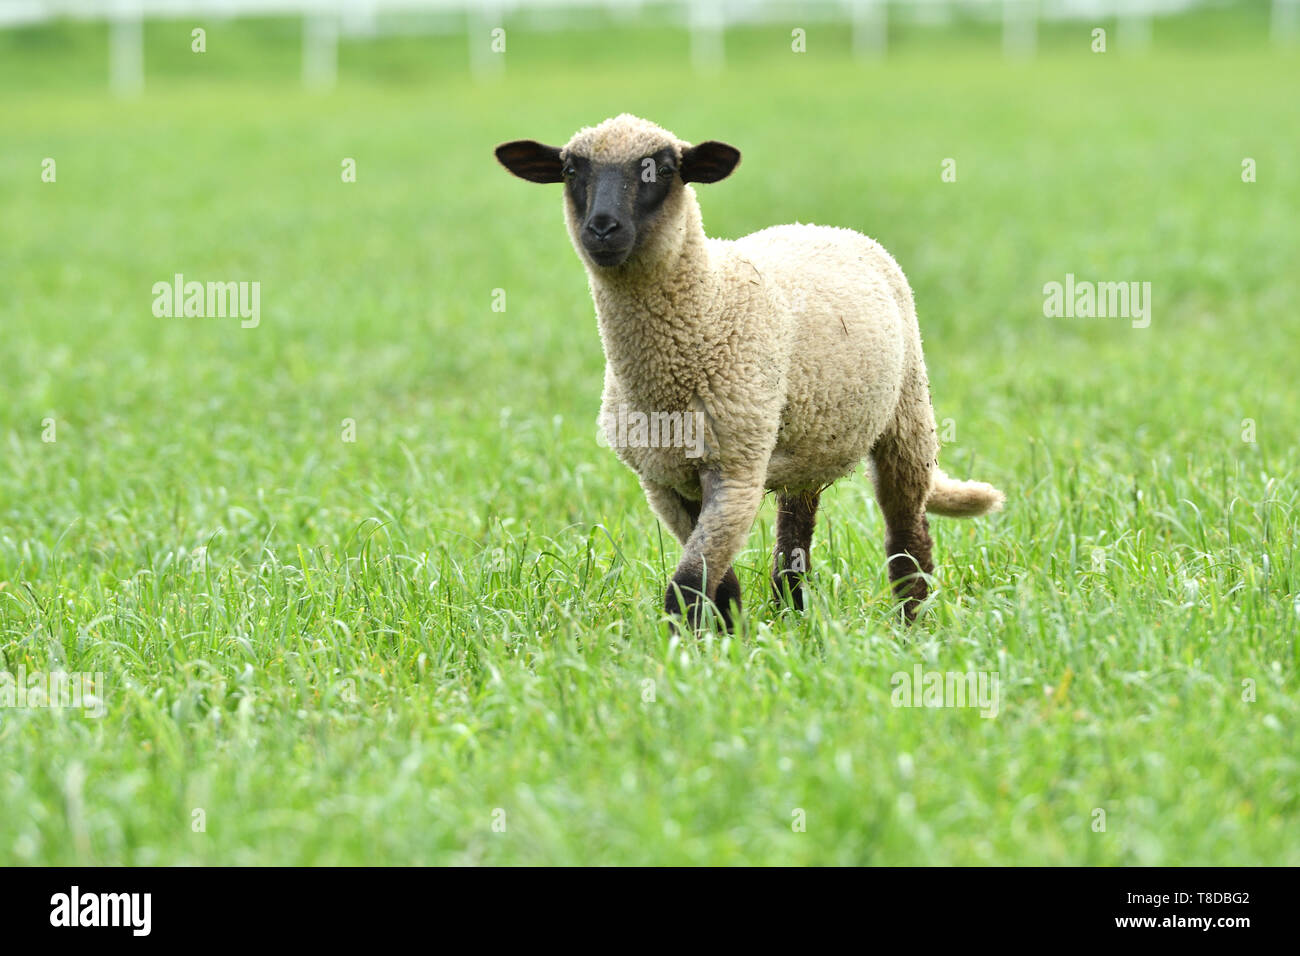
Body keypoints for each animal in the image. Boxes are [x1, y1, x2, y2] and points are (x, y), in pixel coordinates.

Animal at [495, 114, 1004, 630]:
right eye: (570, 171)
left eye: (661, 169)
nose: (601, 228)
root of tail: (819, 225)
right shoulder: (662, 480)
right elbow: (717, 583)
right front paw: (730, 635)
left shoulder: (736, 469)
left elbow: (687, 586)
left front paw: (686, 646)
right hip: (806, 441)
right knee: (796, 536)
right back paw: (790, 614)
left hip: (907, 413)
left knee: (908, 537)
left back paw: (908, 625)